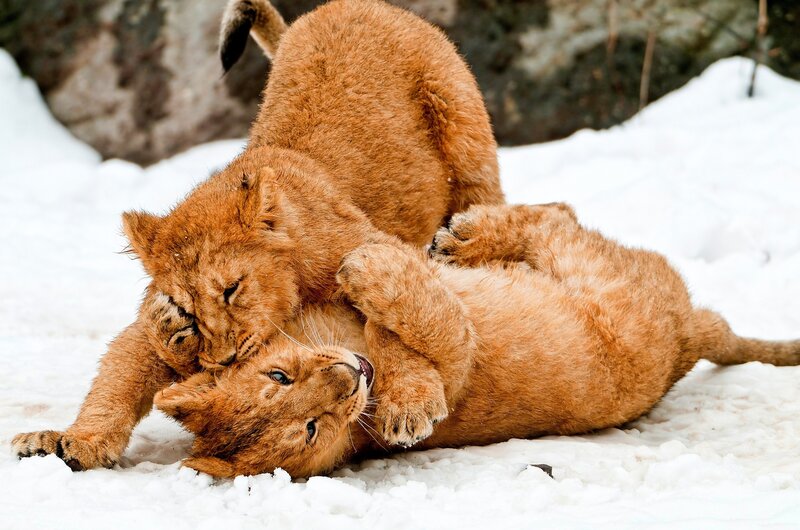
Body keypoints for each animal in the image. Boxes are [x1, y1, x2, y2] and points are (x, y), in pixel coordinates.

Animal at [12, 0, 503, 470]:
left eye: (232, 289)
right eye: (189, 309)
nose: (225, 358)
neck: (296, 281)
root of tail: (342, 5)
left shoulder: (375, 249)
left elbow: (388, 329)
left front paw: (409, 404)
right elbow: (118, 378)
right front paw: (75, 441)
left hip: (465, 136)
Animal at [153, 203, 800, 478]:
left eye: (279, 375)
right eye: (310, 429)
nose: (349, 376)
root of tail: (689, 336)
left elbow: (395, 332)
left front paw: (366, 269)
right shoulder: (461, 352)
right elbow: (434, 330)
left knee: (558, 210)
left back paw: (460, 235)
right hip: (594, 276)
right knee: (556, 224)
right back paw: (463, 239)